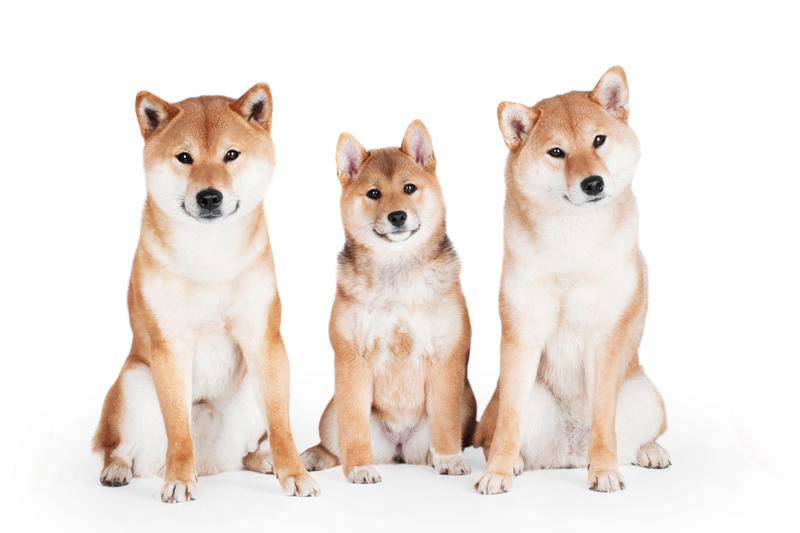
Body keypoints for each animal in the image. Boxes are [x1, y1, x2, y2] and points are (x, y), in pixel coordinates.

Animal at [93, 84, 319, 502]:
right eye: (185, 157)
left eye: (231, 154)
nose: (209, 196)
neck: (210, 256)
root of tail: (213, 465)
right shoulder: (170, 346)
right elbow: (178, 430)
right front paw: (180, 479)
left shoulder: (264, 341)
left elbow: (282, 425)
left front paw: (294, 472)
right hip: (134, 382)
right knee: (116, 447)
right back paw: (117, 470)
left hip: (248, 397)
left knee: (248, 450)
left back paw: (263, 460)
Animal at [300, 120, 477, 483]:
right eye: (373, 194)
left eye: (409, 188)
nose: (397, 216)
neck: (397, 273)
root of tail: (398, 449)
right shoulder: (352, 359)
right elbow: (353, 427)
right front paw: (359, 467)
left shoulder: (447, 357)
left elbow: (445, 422)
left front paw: (450, 460)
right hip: (332, 410)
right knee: (333, 445)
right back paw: (314, 456)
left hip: (466, 405)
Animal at [474, 67, 670, 494]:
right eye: (556, 152)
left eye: (598, 140)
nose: (592, 183)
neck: (573, 242)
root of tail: (569, 453)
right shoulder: (522, 333)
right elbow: (508, 424)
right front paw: (497, 471)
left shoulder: (608, 336)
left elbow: (604, 420)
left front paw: (605, 470)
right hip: (525, 395)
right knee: (493, 433)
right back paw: (515, 463)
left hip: (645, 394)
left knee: (631, 436)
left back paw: (648, 452)